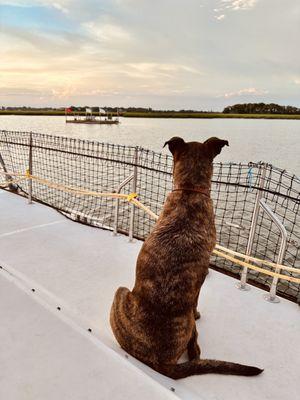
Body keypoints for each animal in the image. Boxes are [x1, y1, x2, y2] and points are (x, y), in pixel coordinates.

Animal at [110, 137, 262, 378]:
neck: (190, 190)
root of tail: (161, 362)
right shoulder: (200, 279)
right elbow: (197, 302)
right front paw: (199, 314)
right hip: (121, 291)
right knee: (195, 348)